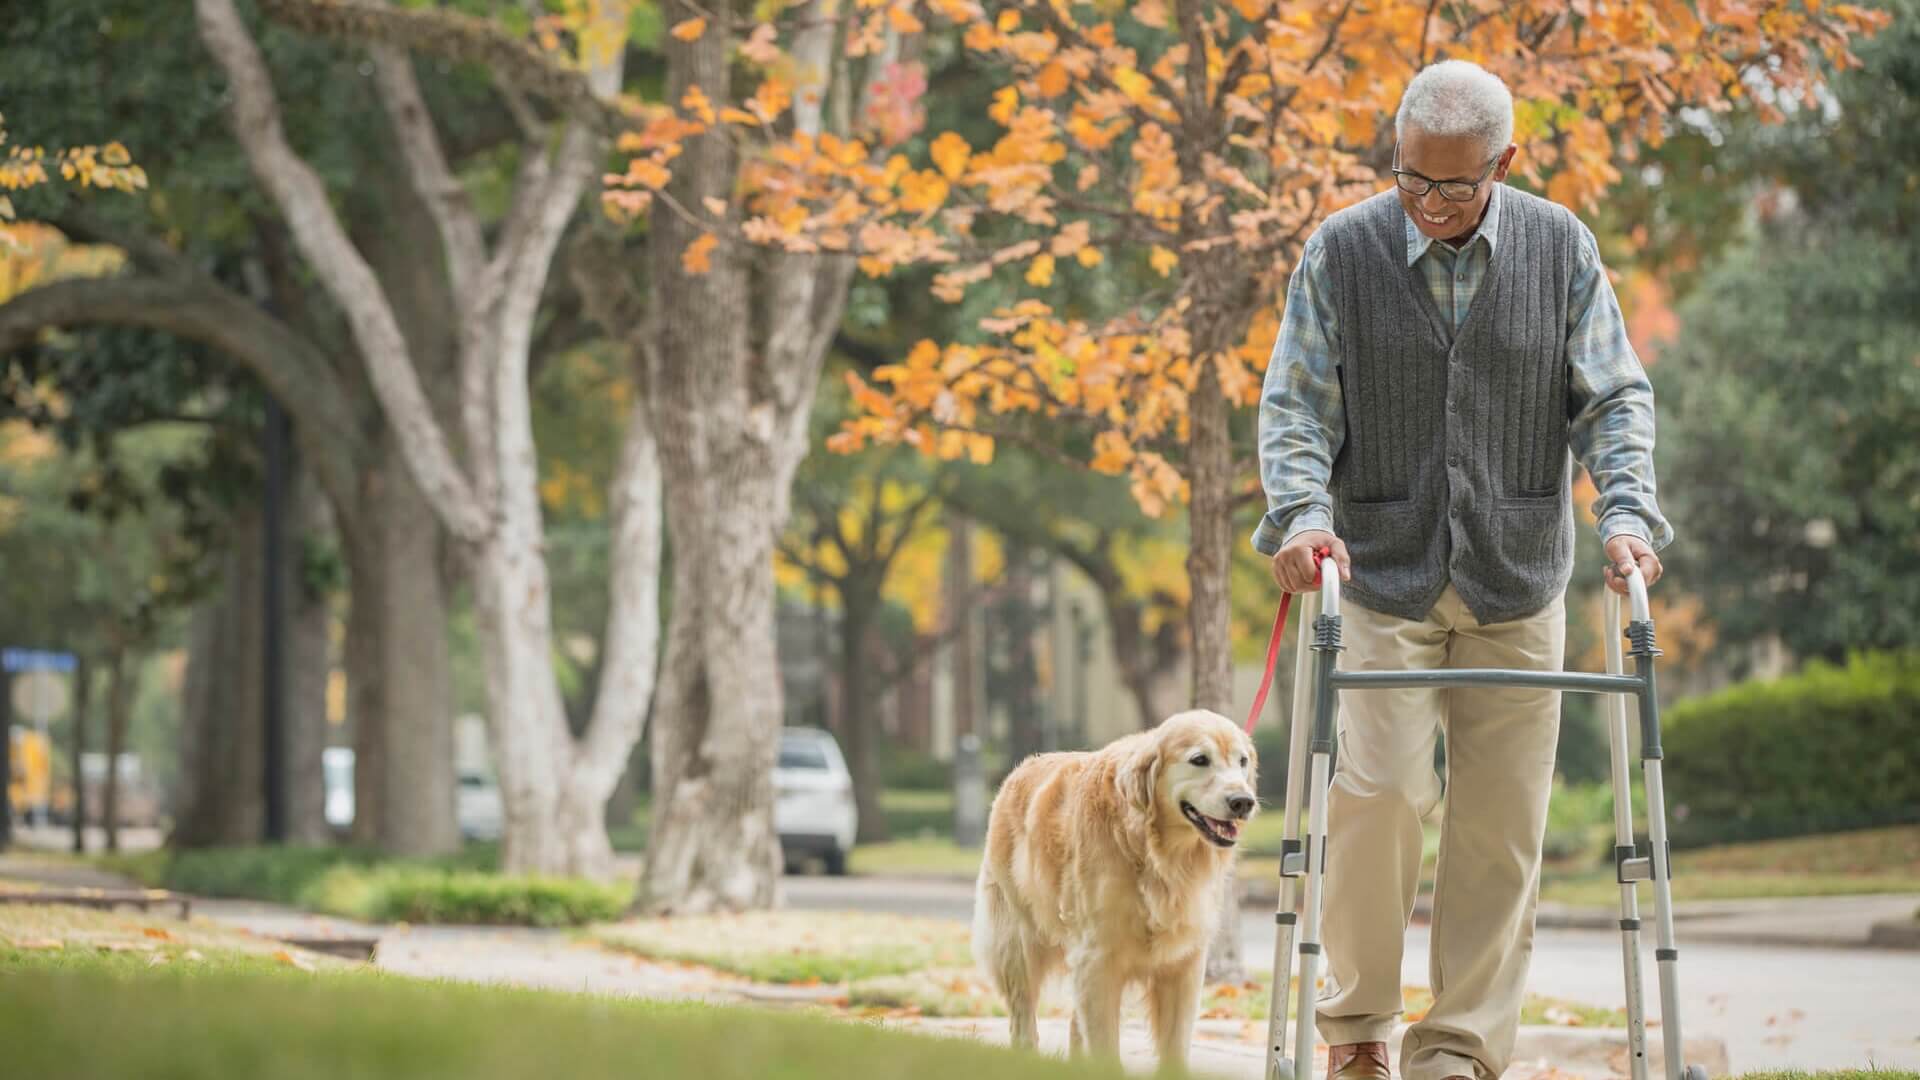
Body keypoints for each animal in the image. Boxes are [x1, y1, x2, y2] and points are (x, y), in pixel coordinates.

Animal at [975, 707, 1259, 1068]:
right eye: (1199, 760)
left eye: (1242, 761)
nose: (1243, 801)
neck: (1157, 854)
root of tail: (1018, 770)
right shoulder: (1098, 958)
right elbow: (1104, 1044)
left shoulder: (1184, 964)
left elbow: (1175, 1045)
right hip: (1019, 944)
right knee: (1023, 1020)